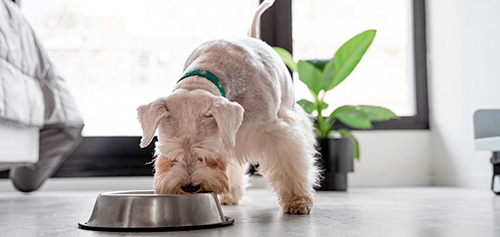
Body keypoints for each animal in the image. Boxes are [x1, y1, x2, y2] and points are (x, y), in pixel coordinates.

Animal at [137, 0, 318, 215]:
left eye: (206, 153)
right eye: (171, 153)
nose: (189, 187)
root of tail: (253, 37)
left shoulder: (275, 132)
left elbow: (288, 164)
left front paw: (297, 201)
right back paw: (229, 195)